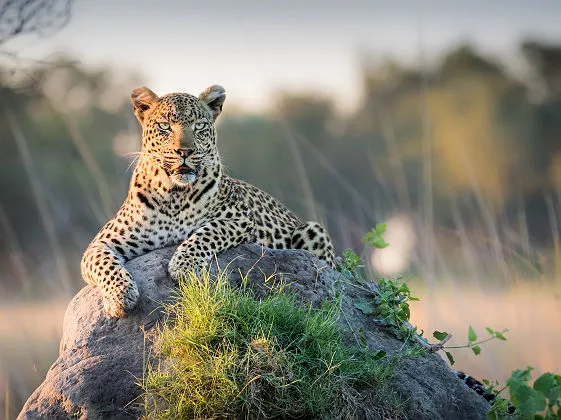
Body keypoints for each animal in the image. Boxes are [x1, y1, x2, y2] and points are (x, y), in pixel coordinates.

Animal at [81, 83, 334, 316]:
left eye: (199, 126)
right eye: (165, 126)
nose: (185, 151)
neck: (174, 193)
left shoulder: (241, 219)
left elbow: (206, 233)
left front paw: (183, 266)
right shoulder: (102, 242)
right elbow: (103, 263)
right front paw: (120, 295)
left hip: (313, 230)